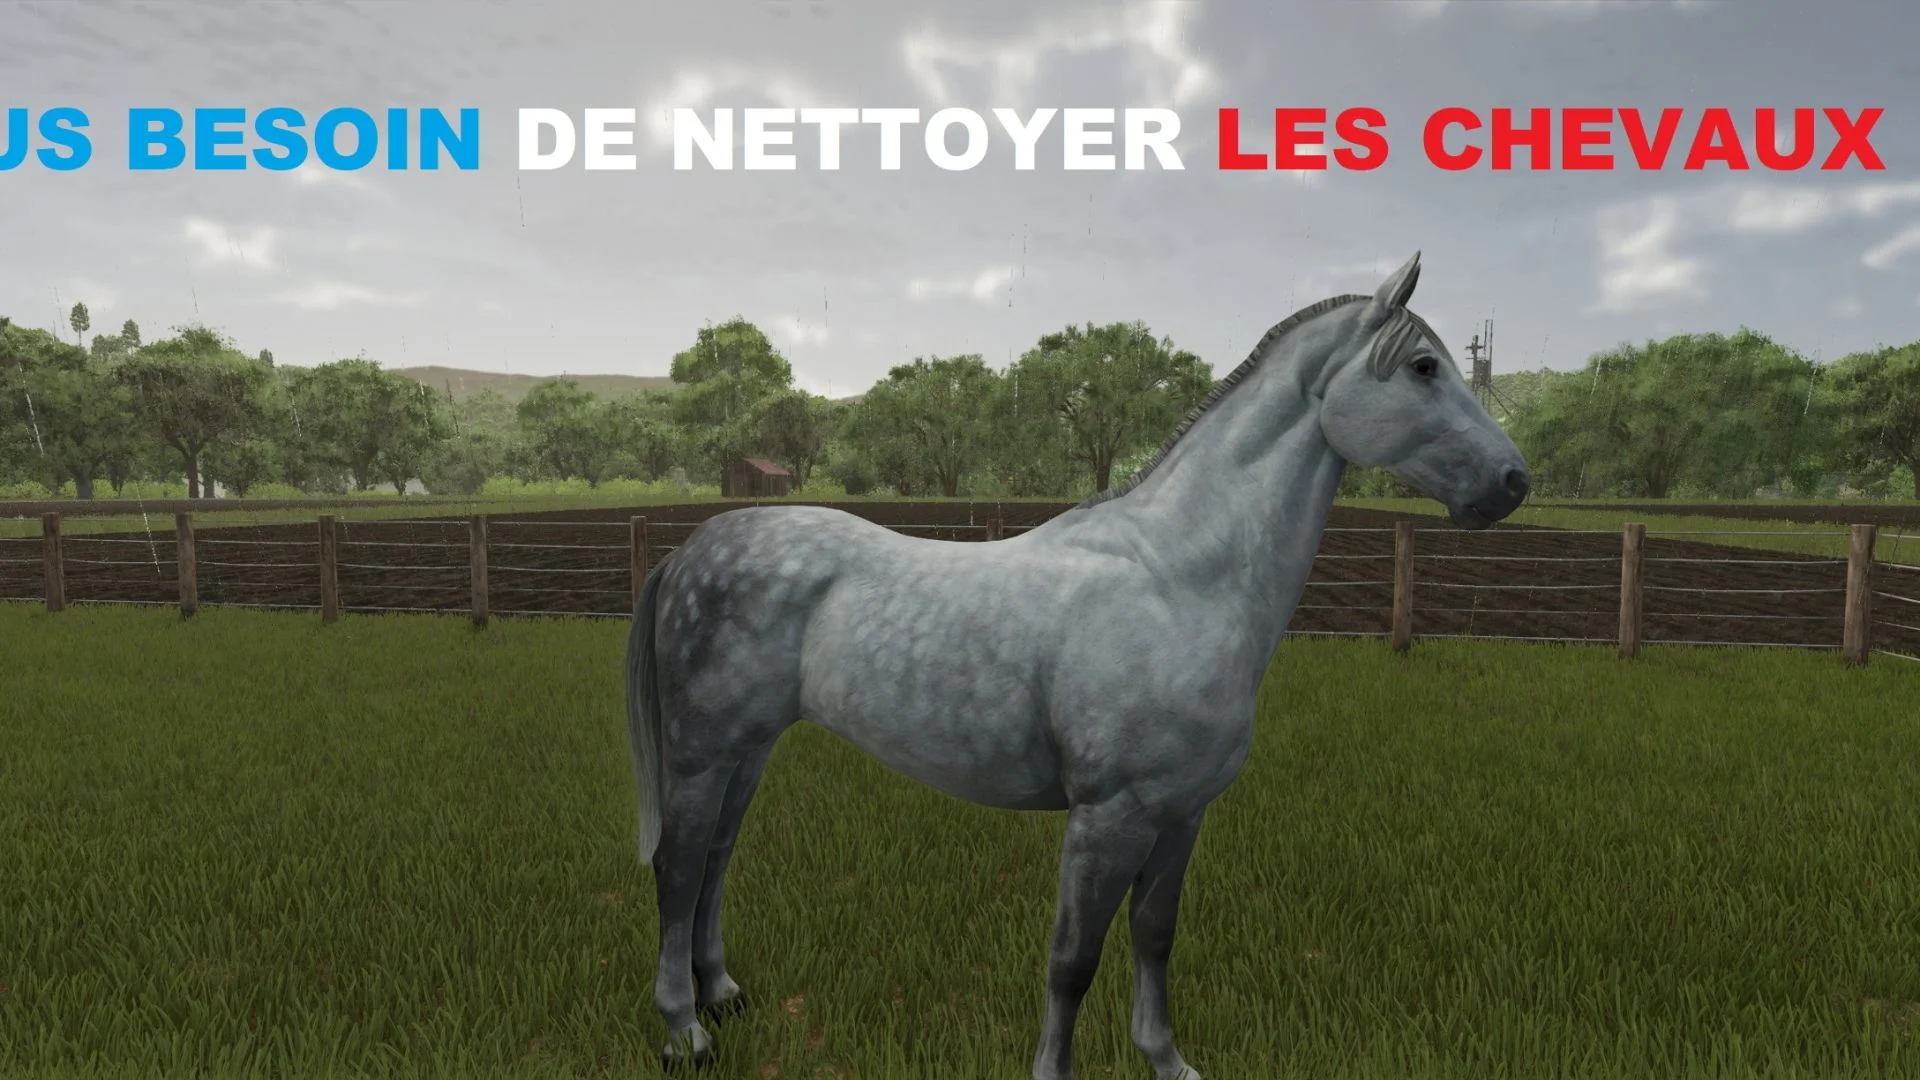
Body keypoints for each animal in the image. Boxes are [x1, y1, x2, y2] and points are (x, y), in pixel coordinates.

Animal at [624, 252, 1530, 1079]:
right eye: (1423, 367)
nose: (1513, 481)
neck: (1175, 578)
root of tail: (688, 553)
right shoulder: (1109, 816)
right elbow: (1073, 961)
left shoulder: (1182, 813)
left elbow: (1154, 937)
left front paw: (1167, 1061)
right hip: (703, 754)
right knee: (678, 866)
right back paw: (684, 1032)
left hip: (747, 752)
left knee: (714, 861)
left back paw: (722, 994)